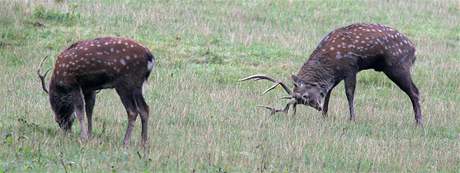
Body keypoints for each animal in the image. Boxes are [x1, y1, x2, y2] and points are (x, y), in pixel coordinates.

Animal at [243, 22, 422, 125]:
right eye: (302, 101)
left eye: (305, 96)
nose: (317, 107)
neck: (330, 64)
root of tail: (414, 50)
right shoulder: (336, 76)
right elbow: (328, 93)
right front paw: (324, 116)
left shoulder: (350, 67)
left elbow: (349, 93)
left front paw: (352, 119)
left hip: (397, 66)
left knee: (415, 91)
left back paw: (419, 122)